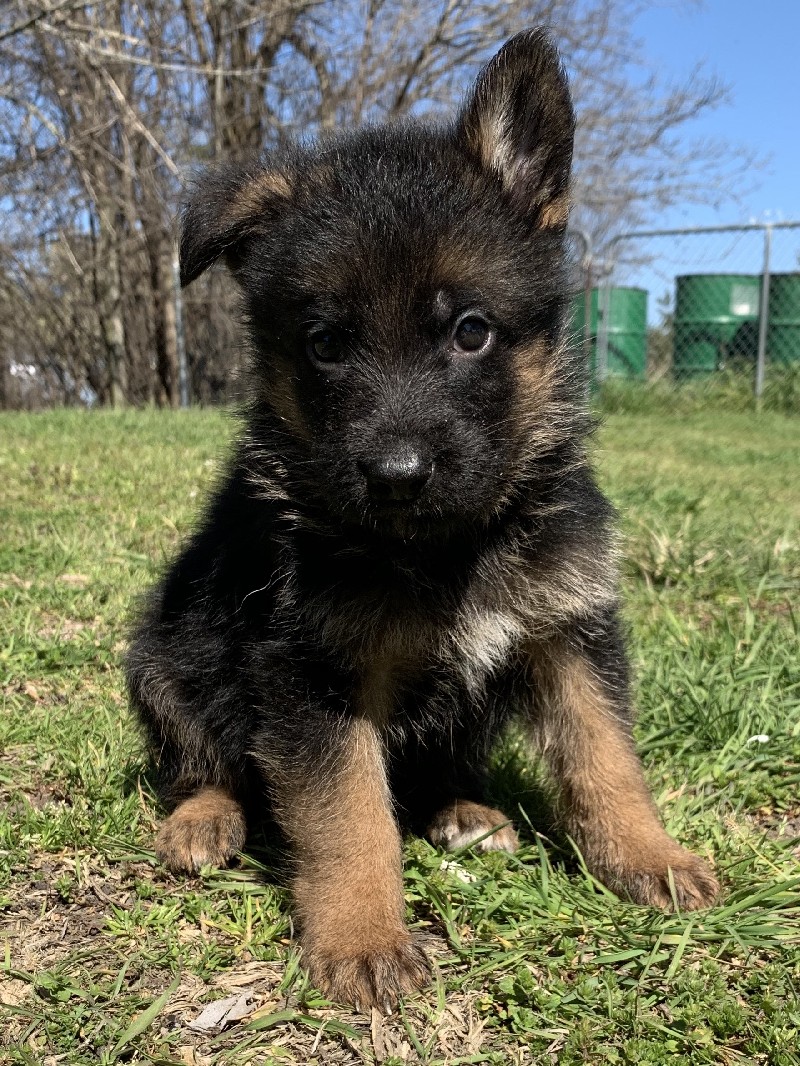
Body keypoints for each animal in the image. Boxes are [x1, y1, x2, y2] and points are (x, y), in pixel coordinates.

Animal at [126, 29, 721, 1010]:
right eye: (326, 343)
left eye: (470, 331)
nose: (397, 476)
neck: (444, 547)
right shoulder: (310, 676)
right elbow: (348, 813)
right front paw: (364, 937)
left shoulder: (568, 630)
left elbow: (605, 755)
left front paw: (648, 855)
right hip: (163, 658)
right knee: (203, 759)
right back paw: (202, 821)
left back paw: (465, 809)